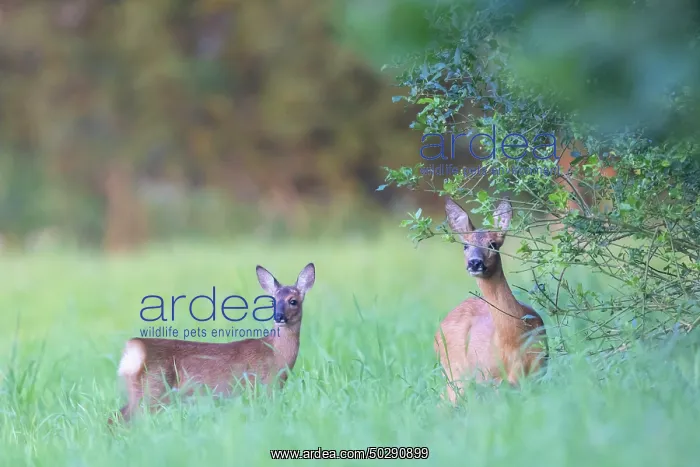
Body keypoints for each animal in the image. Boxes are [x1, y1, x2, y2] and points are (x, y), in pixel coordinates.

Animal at [109, 263, 315, 424]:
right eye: (273, 301)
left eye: (293, 301)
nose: (279, 316)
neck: (275, 354)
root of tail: (134, 349)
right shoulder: (261, 386)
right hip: (153, 389)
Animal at [434, 197, 548, 404]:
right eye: (465, 245)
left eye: (493, 244)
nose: (474, 263)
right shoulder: (495, 378)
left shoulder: (539, 370)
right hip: (454, 372)